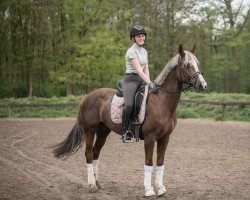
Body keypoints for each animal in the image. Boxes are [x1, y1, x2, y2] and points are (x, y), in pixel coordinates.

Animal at [52, 43, 207, 197]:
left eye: (197, 64)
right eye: (186, 65)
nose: (203, 85)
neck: (161, 101)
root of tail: (87, 96)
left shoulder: (165, 138)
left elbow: (160, 163)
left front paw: (160, 189)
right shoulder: (150, 138)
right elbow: (149, 163)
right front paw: (149, 190)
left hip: (103, 131)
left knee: (96, 152)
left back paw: (98, 183)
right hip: (90, 130)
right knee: (89, 154)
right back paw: (92, 185)